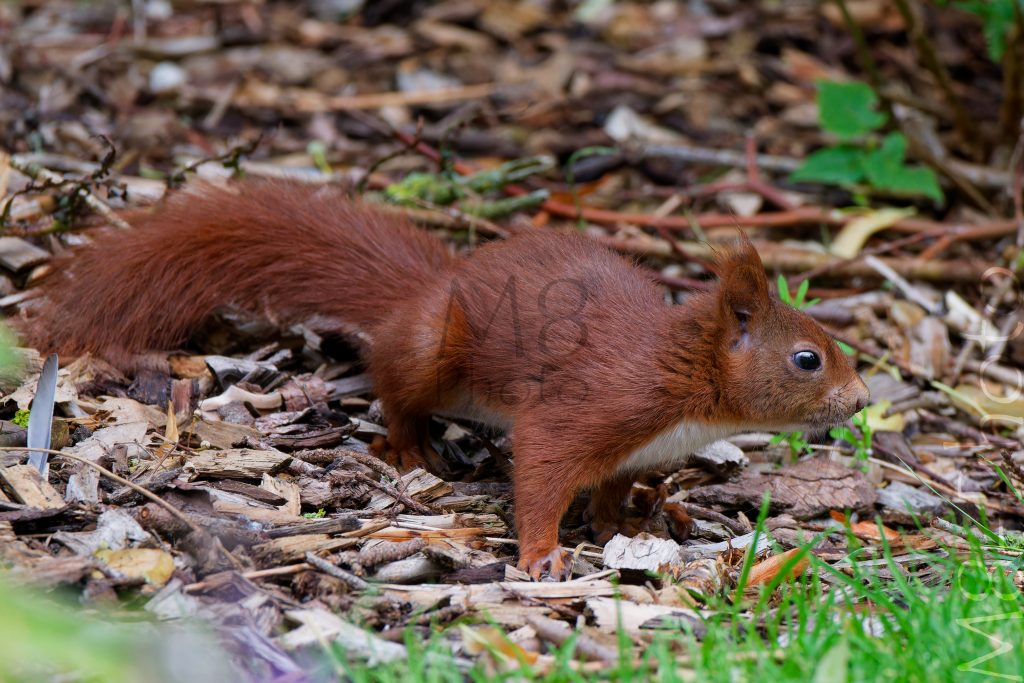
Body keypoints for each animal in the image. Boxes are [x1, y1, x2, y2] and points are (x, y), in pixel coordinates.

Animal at [19, 179, 869, 580]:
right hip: (434, 350)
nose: (862, 402)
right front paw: (542, 557)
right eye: (807, 358)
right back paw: (409, 447)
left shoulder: (635, 449)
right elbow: (545, 470)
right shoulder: (592, 405)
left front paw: (624, 525)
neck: (687, 386)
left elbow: (608, 490)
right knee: (395, 384)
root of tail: (423, 291)